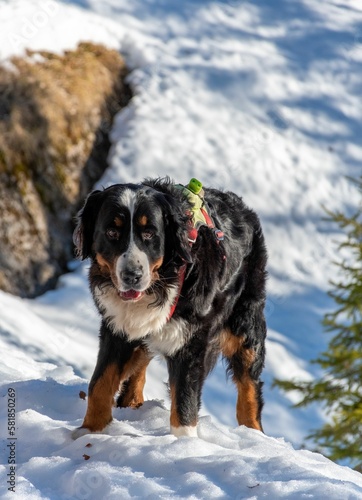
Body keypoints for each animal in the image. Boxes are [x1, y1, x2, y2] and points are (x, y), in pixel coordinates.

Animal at [72, 178, 268, 440]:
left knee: (249, 385)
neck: (162, 282)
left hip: (244, 328)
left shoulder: (190, 341)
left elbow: (184, 402)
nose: (132, 275)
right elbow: (100, 383)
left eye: (149, 234)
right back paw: (131, 401)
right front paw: (89, 432)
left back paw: (254, 434)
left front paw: (184, 444)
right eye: (112, 232)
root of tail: (244, 209)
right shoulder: (116, 328)